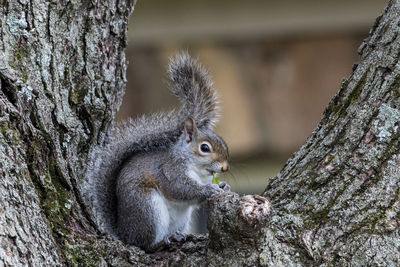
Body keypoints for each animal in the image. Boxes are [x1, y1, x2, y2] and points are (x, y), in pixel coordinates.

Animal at [83, 51, 230, 252]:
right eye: (204, 148)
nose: (224, 168)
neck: (195, 168)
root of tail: (124, 234)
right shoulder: (169, 171)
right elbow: (181, 188)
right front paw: (209, 189)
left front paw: (223, 185)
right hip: (147, 208)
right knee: (145, 245)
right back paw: (161, 242)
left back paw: (176, 235)